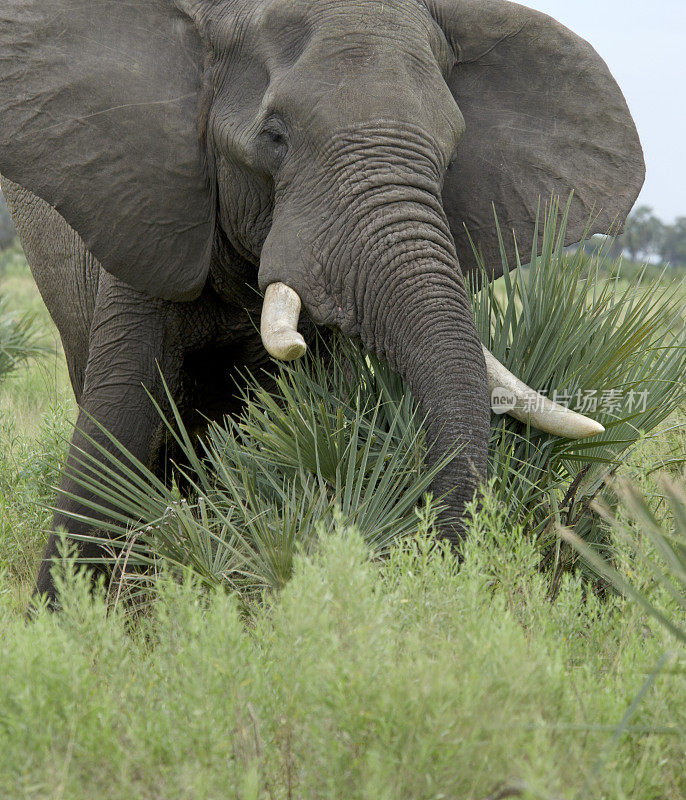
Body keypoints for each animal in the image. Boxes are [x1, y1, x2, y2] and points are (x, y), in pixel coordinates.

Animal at [0, 0, 644, 600]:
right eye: (275, 138)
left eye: (452, 154)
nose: (439, 561)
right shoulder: (149, 209)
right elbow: (117, 425)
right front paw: (61, 615)